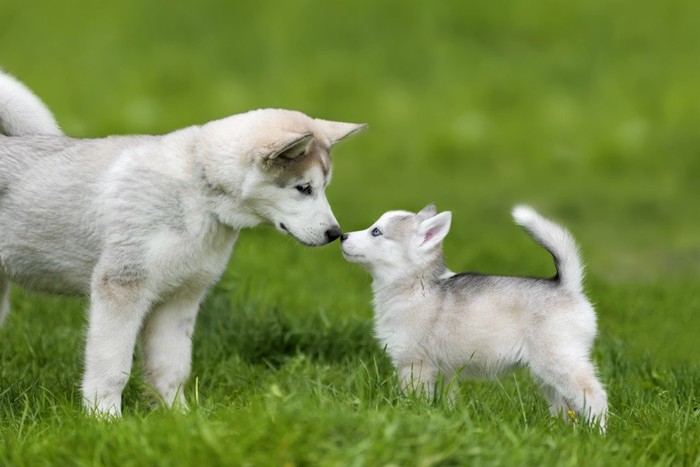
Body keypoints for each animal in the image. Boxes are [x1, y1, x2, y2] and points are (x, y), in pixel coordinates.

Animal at [1, 70, 366, 416]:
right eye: (303, 188)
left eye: (324, 187)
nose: (335, 233)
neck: (199, 190)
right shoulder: (121, 287)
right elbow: (112, 368)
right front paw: (105, 419)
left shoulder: (180, 298)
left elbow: (171, 368)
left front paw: (179, 417)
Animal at [342, 205, 608, 432]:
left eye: (376, 231)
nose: (342, 235)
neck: (417, 288)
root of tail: (566, 286)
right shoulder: (444, 372)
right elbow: (446, 400)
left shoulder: (415, 365)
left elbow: (415, 399)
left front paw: (411, 416)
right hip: (546, 375)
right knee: (566, 407)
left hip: (558, 362)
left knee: (594, 394)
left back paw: (598, 432)